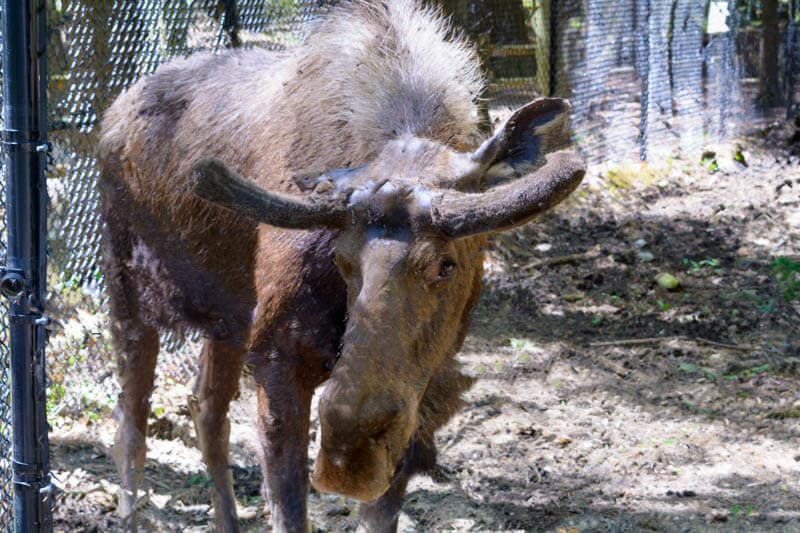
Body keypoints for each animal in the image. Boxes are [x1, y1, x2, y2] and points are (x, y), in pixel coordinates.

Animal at [97, 1, 585, 531]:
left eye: (446, 265)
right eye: (341, 259)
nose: (350, 456)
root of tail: (110, 115)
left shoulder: (421, 385)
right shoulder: (278, 358)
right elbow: (289, 506)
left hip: (226, 318)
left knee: (205, 407)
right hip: (128, 288)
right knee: (130, 418)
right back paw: (129, 511)